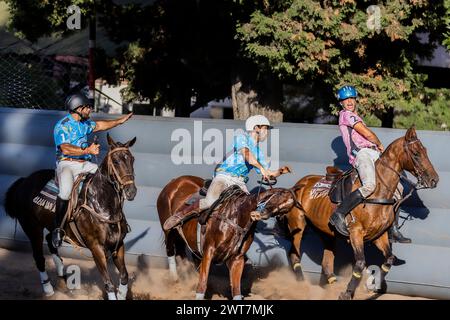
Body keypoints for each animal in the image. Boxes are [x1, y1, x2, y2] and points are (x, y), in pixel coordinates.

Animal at [3, 134, 137, 298]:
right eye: (116, 161)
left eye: (132, 159)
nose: (131, 191)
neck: (102, 204)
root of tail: (24, 181)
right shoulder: (96, 248)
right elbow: (109, 284)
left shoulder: (118, 245)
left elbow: (124, 276)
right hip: (32, 228)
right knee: (39, 258)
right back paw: (48, 289)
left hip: (53, 227)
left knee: (51, 240)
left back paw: (62, 274)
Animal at [156, 175, 300, 300]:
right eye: (279, 196)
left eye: (285, 210)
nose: (261, 214)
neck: (237, 215)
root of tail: (175, 181)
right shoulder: (209, 250)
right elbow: (202, 283)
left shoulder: (237, 258)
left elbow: (236, 289)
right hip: (168, 230)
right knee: (170, 249)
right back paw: (174, 278)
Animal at [286, 127, 438, 300]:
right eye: (416, 153)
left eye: (425, 151)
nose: (434, 180)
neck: (378, 193)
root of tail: (299, 184)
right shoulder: (356, 232)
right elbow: (359, 264)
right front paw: (347, 293)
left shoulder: (380, 235)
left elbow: (389, 259)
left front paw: (371, 285)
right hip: (297, 224)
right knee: (294, 255)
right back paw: (301, 287)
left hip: (325, 232)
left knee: (326, 262)